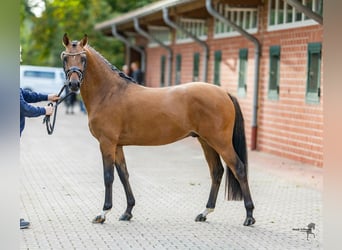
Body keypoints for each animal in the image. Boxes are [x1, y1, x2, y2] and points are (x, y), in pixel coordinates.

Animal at [61, 33, 255, 227]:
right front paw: (128, 211)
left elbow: (108, 176)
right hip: (206, 141)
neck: (109, 93)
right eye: (65, 57)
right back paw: (204, 212)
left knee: (239, 169)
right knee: (217, 172)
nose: (73, 84)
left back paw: (249, 215)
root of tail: (224, 93)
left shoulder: (107, 143)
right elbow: (124, 175)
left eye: (83, 58)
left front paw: (103, 213)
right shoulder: (117, 145)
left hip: (220, 142)